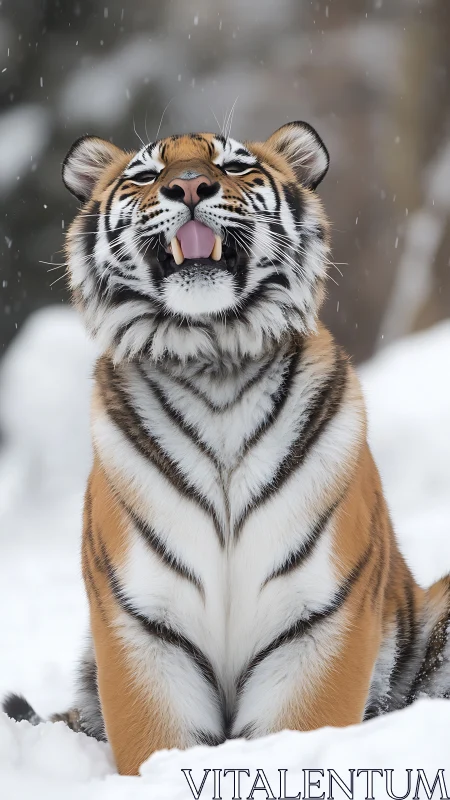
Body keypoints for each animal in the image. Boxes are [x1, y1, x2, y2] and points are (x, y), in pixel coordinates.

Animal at [3, 121, 450, 776]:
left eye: (234, 165)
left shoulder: (318, 619)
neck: (214, 356)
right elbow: (159, 742)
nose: (189, 186)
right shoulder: (144, 623)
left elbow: (294, 731)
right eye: (145, 175)